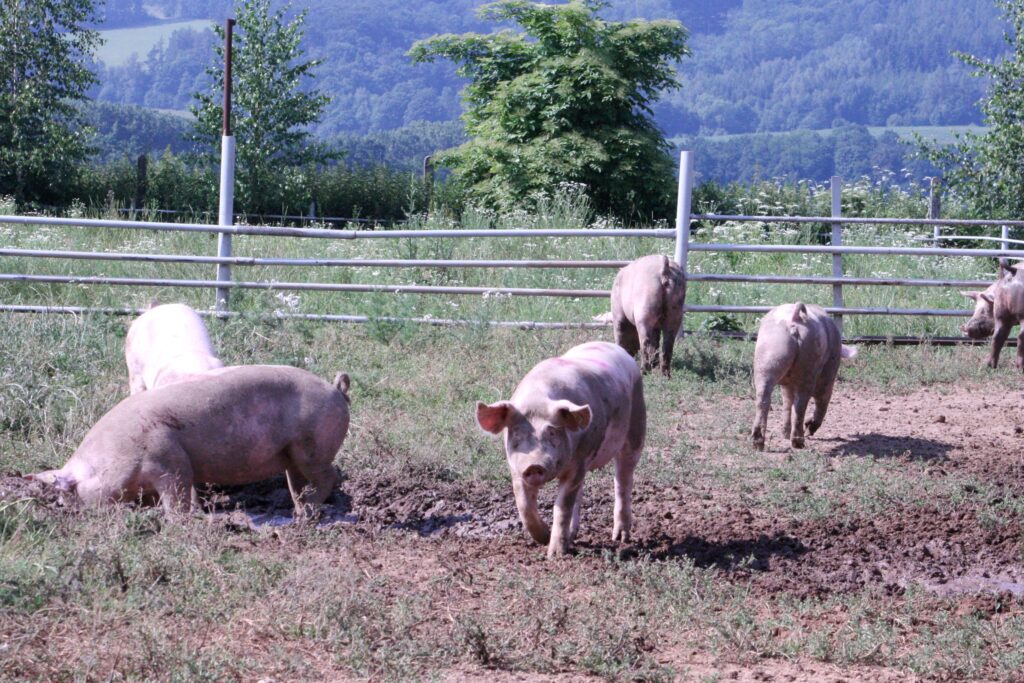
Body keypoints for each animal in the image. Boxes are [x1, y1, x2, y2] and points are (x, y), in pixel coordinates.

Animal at [753, 301, 856, 450]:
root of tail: (795, 319)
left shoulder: (787, 384)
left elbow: (787, 401)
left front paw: (784, 434)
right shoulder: (829, 372)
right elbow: (822, 399)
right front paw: (807, 430)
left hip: (767, 356)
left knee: (763, 399)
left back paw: (758, 443)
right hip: (809, 365)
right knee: (802, 404)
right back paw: (799, 442)